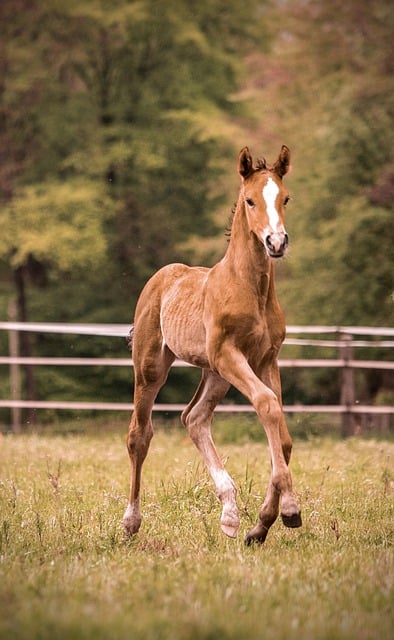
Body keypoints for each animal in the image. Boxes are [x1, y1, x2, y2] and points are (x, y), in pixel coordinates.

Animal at [123, 145, 302, 544]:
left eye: (285, 198)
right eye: (250, 200)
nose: (276, 242)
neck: (250, 288)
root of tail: (162, 276)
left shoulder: (267, 359)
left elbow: (281, 436)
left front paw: (260, 525)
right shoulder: (228, 355)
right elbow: (267, 406)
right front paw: (288, 510)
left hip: (215, 375)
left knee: (194, 418)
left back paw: (230, 514)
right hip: (153, 367)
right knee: (140, 435)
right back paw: (130, 522)